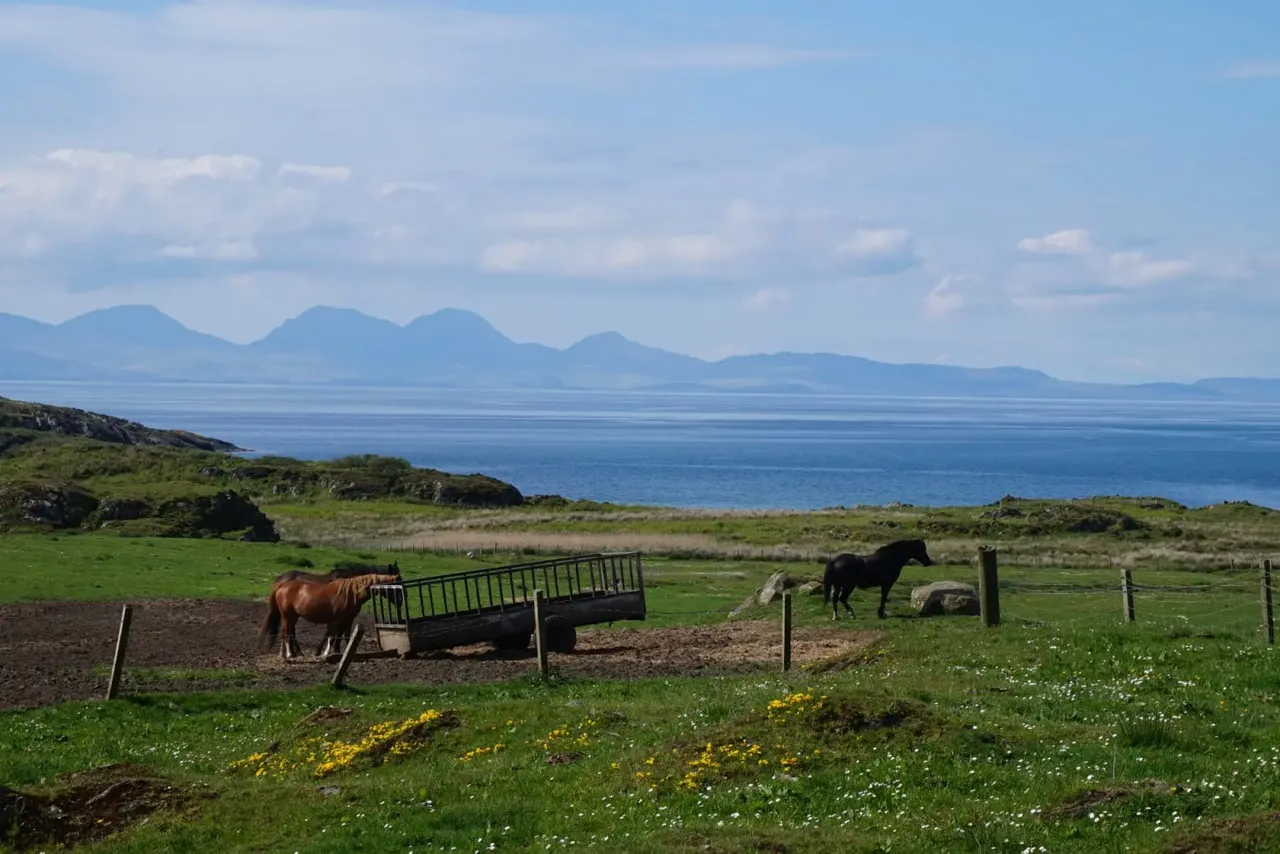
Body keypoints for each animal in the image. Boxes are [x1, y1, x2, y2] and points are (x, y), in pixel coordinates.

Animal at [259, 572, 402, 660]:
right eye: (396, 587)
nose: (400, 601)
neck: (351, 593)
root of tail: (282, 585)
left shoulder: (348, 620)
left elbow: (347, 637)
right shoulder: (337, 620)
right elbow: (332, 637)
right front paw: (325, 654)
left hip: (292, 617)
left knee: (286, 633)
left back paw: (285, 654)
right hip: (288, 616)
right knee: (286, 633)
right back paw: (289, 654)